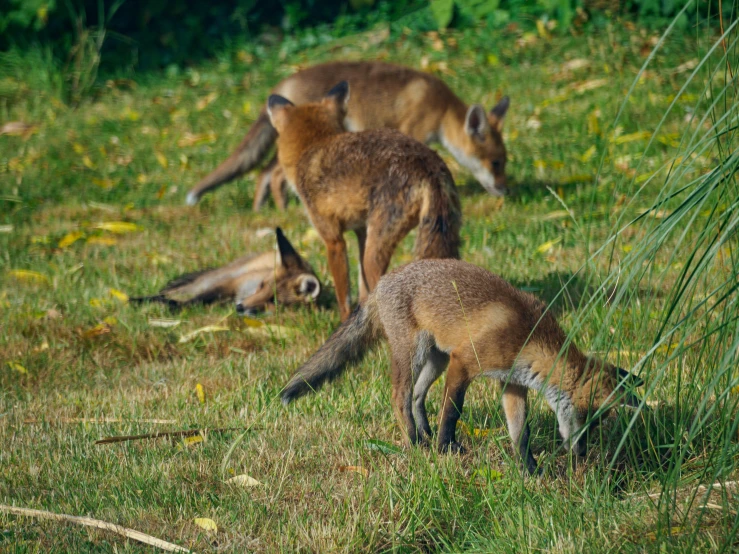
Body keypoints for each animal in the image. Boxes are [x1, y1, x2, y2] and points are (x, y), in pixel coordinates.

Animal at [130, 225, 320, 314]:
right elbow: (195, 300)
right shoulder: (231, 283)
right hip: (214, 278)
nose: (240, 307)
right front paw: (176, 307)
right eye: (261, 286)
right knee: (171, 292)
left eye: (273, 300)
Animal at [185, 59, 512, 207]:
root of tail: (283, 82)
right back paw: (284, 209)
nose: (506, 191)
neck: (441, 108)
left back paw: (261, 211)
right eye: (496, 163)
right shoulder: (413, 131)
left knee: (264, 174)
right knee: (274, 175)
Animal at [266, 82, 462, 322]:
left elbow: (344, 296)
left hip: (375, 253)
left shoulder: (333, 240)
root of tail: (427, 163)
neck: (311, 147)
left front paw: (344, 322)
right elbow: (362, 290)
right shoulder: (361, 231)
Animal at [280, 260, 644, 474]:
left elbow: (520, 432)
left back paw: (423, 433)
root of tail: (381, 281)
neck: (528, 335)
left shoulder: (511, 383)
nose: (580, 456)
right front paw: (446, 448)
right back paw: (417, 442)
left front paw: (529, 469)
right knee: (400, 397)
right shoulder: (464, 362)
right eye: (587, 419)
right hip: (415, 354)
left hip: (436, 358)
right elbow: (453, 411)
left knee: (417, 397)